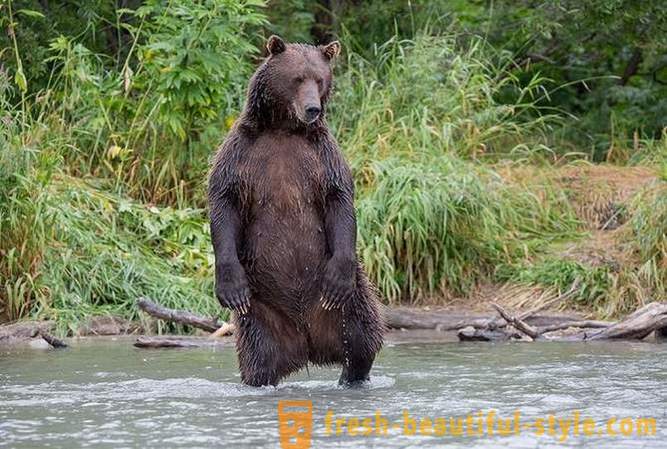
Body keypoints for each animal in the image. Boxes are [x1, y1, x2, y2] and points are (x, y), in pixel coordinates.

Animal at [209, 35, 386, 384]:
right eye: (297, 78)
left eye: (320, 79)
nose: (313, 109)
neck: (283, 128)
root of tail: (307, 344)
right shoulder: (241, 153)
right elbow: (224, 200)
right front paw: (229, 287)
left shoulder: (322, 155)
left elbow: (338, 198)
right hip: (261, 310)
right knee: (258, 359)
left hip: (346, 303)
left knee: (362, 338)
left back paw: (352, 375)